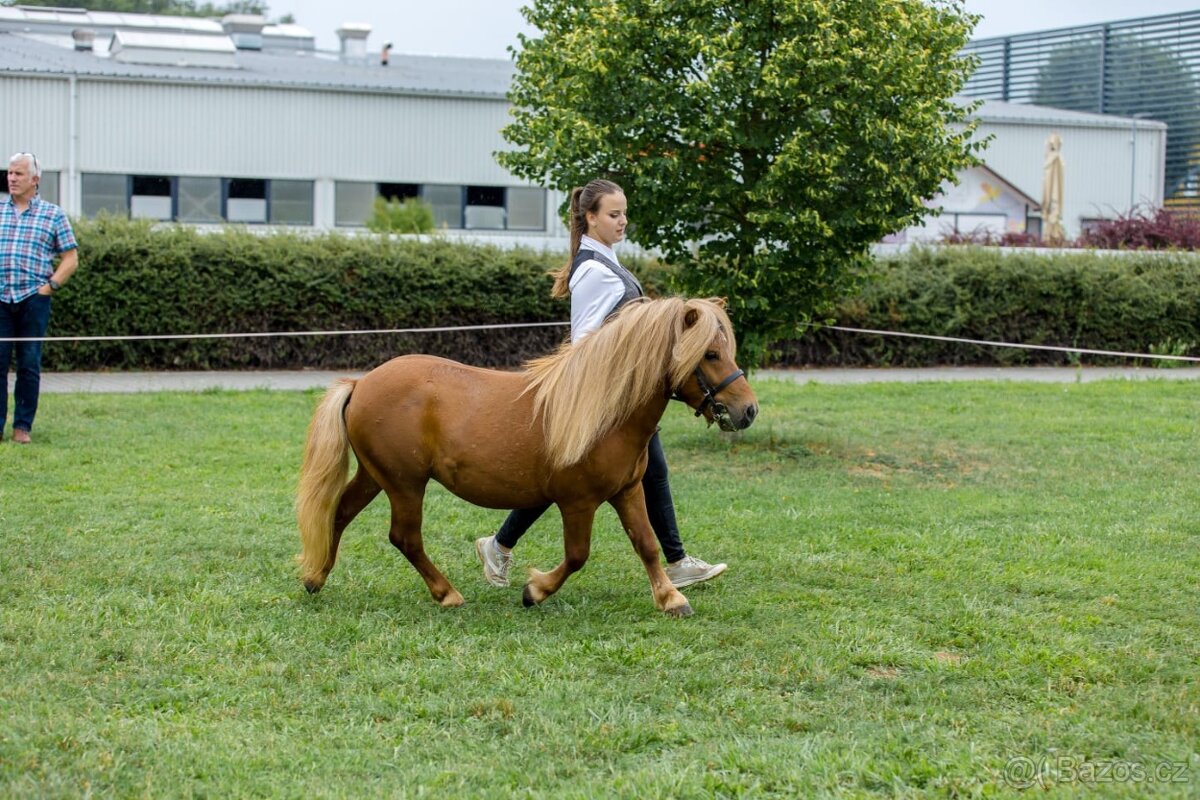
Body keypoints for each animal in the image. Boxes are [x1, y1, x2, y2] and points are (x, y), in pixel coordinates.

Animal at [295, 296, 758, 616]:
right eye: (710, 354)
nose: (748, 410)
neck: (603, 413)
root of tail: (361, 383)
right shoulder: (577, 502)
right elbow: (577, 555)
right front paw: (535, 591)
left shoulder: (627, 492)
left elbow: (645, 543)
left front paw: (670, 597)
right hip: (405, 484)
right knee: (404, 538)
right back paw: (447, 594)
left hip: (377, 477)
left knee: (339, 513)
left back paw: (315, 577)